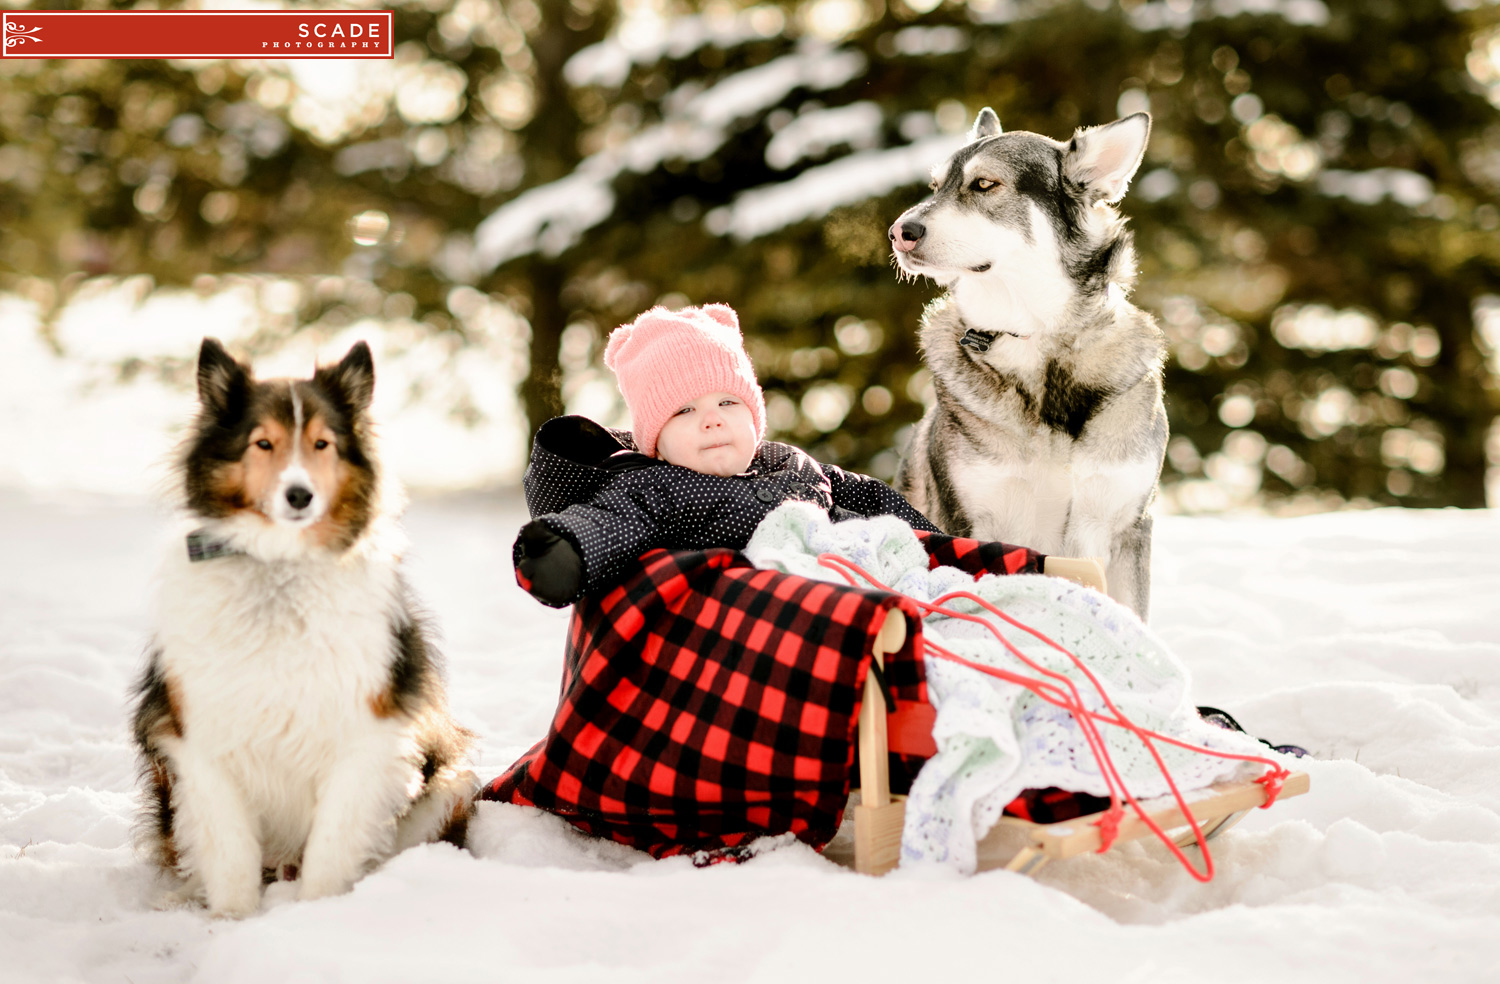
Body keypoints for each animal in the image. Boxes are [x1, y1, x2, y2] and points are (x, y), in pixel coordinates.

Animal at [135, 336, 477, 912]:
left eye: (322, 444)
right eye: (263, 443)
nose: (300, 496)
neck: (281, 568)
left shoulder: (366, 735)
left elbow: (332, 846)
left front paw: (316, 915)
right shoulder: (199, 738)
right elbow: (229, 852)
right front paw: (230, 921)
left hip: (450, 782)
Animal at [888, 105, 1170, 615]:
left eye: (984, 184)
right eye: (934, 186)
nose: (900, 232)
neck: (1040, 342)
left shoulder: (1127, 526)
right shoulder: (967, 523)